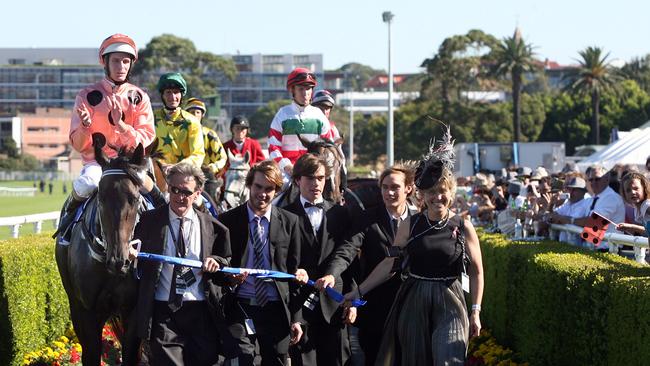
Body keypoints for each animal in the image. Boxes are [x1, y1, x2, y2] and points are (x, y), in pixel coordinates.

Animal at [54, 135, 147, 366]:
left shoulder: (133, 310)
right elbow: (91, 354)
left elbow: (131, 354)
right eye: (101, 197)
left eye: (134, 198)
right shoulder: (87, 311)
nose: (119, 260)